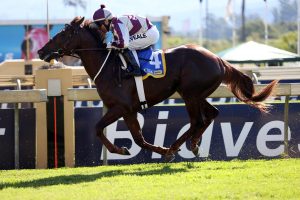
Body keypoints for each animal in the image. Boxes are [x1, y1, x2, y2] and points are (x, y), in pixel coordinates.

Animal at [38, 16, 278, 161]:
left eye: (61, 34)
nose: (41, 51)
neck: (107, 66)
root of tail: (218, 58)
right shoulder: (126, 109)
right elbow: (134, 138)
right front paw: (125, 149)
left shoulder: (121, 107)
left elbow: (101, 129)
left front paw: (123, 150)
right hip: (195, 94)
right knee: (211, 114)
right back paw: (192, 144)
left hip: (190, 94)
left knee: (197, 121)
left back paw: (175, 147)